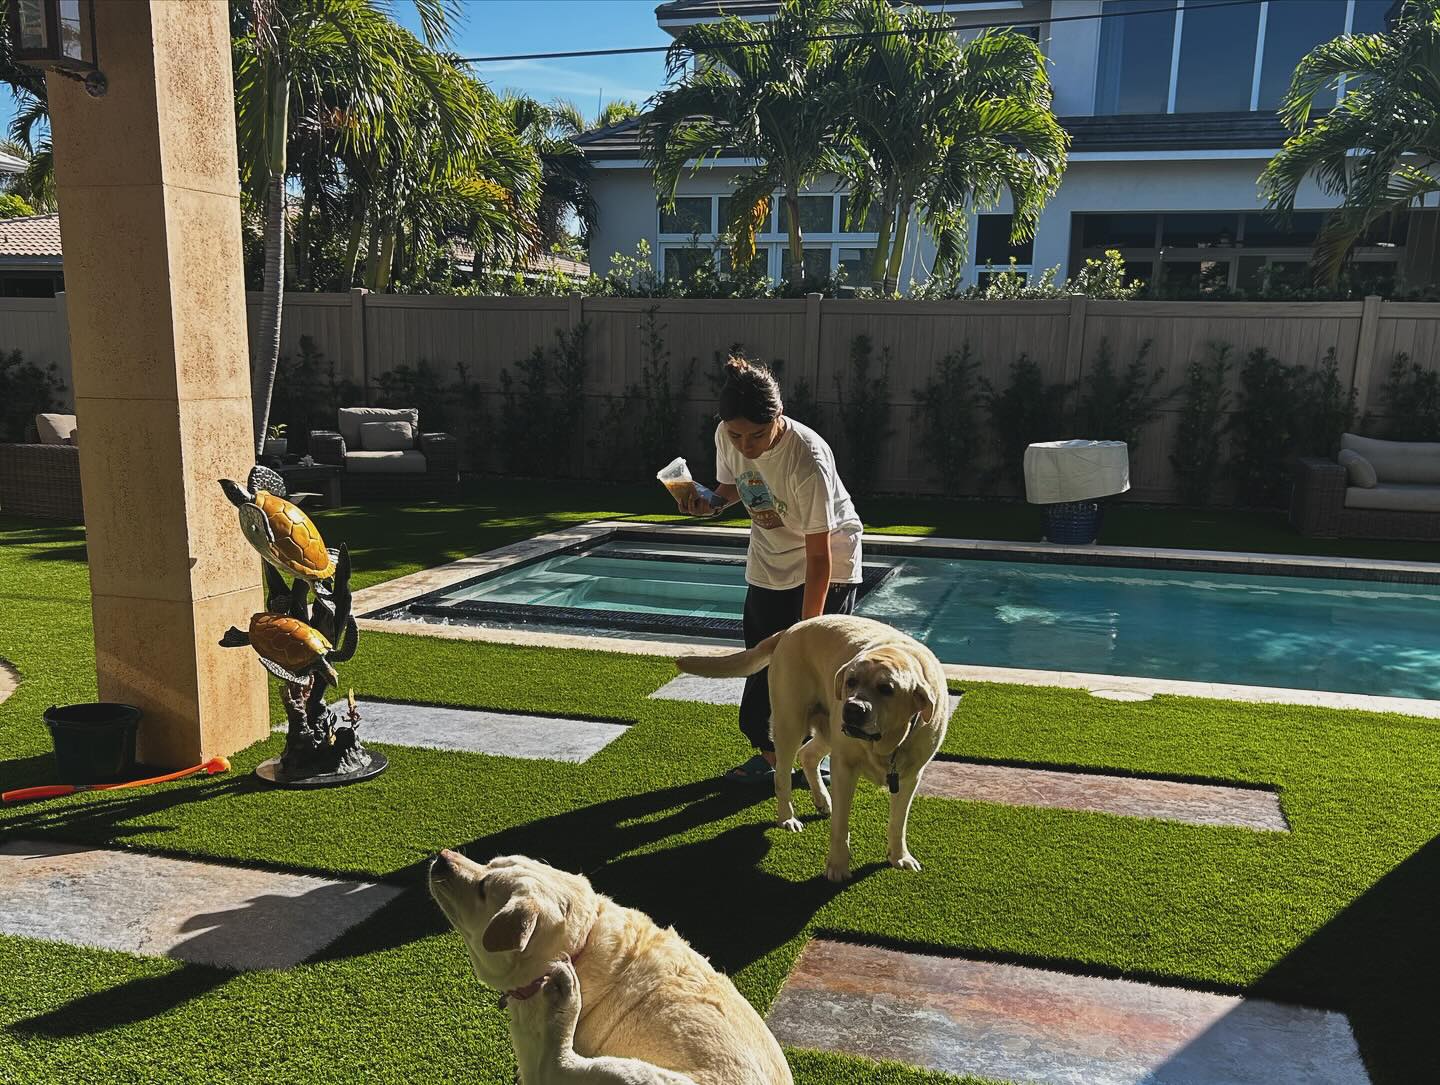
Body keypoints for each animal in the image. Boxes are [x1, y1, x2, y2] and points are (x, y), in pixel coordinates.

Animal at [676, 614, 949, 882]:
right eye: (851, 682)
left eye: (887, 689)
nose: (852, 708)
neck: (887, 742)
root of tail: (789, 629)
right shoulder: (844, 767)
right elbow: (840, 825)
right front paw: (837, 866)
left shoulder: (910, 777)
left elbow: (898, 823)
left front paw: (900, 857)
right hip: (791, 723)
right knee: (782, 776)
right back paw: (788, 818)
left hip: (827, 729)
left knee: (807, 755)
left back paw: (822, 800)